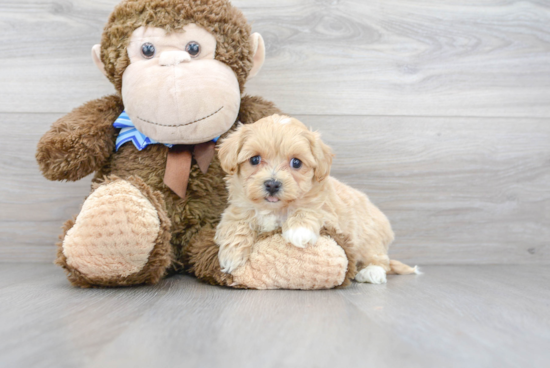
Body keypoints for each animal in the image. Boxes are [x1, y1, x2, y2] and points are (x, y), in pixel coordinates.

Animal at [217, 113, 418, 284]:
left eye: (296, 162)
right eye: (254, 160)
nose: (273, 185)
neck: (274, 209)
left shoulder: (328, 213)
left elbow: (309, 209)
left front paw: (299, 230)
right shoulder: (237, 209)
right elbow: (236, 225)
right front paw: (231, 256)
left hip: (369, 239)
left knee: (379, 259)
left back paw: (371, 272)